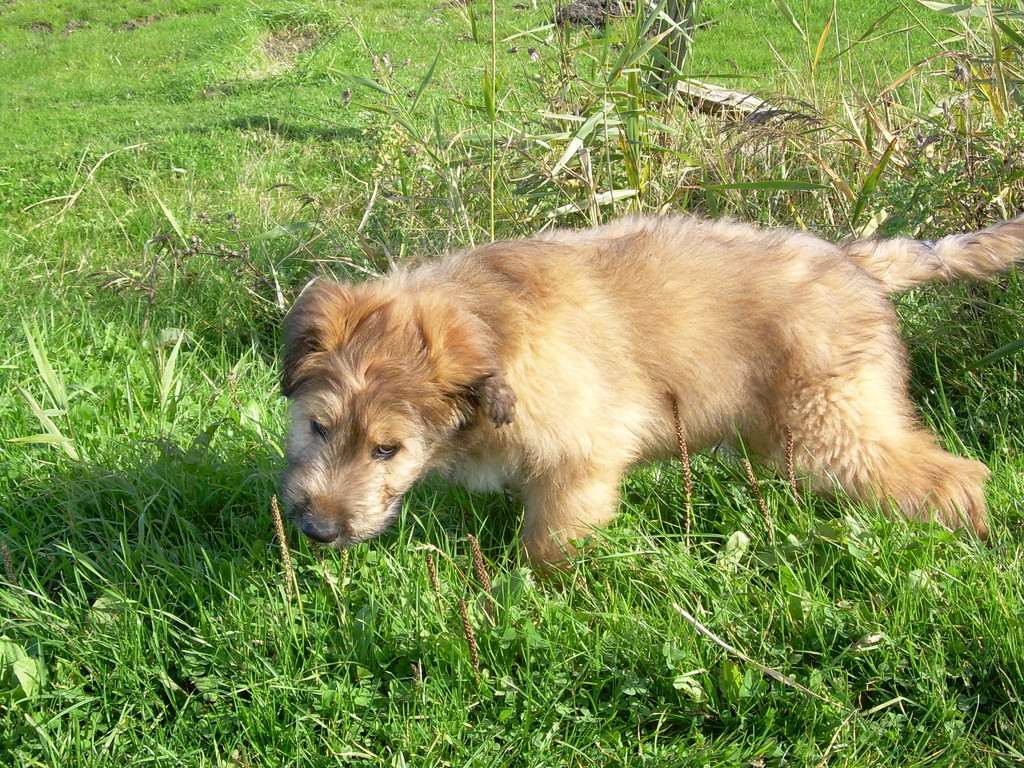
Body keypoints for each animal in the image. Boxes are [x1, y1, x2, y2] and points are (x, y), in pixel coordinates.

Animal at [280, 217, 1024, 565]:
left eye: (387, 450)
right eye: (318, 428)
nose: (316, 531)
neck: (494, 328)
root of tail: (854, 260)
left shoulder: (582, 461)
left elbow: (550, 543)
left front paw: (535, 603)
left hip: (834, 423)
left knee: (953, 475)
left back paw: (973, 538)